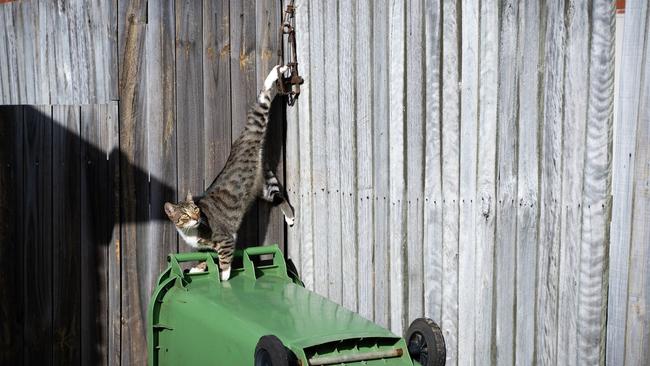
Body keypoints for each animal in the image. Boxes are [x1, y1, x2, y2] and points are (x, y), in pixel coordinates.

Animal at [162, 65, 294, 280]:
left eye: (196, 210)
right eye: (185, 215)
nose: (197, 218)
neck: (190, 232)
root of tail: (241, 140)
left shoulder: (225, 239)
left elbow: (224, 262)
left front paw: (224, 281)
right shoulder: (208, 248)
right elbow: (205, 258)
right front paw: (198, 268)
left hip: (258, 122)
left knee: (263, 99)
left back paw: (276, 72)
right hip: (264, 186)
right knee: (278, 196)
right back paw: (290, 217)